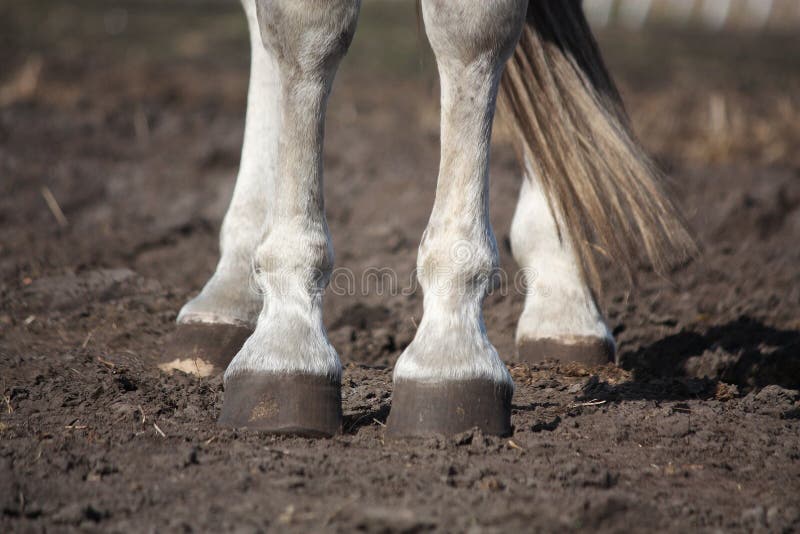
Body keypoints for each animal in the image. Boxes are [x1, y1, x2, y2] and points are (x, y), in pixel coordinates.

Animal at [157, 0, 696, 438]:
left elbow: (470, 30)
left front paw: (450, 356)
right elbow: (299, 26)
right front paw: (283, 343)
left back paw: (563, 296)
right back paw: (230, 288)